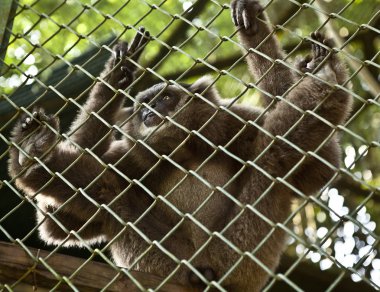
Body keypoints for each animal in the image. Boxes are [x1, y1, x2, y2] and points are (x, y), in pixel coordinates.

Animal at [8, 1, 352, 290]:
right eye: (144, 105)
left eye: (164, 98)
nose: (149, 112)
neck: (183, 152)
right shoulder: (129, 157)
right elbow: (58, 224)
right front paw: (116, 77)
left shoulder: (236, 123)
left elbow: (319, 166)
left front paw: (252, 25)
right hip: (166, 263)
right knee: (111, 191)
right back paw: (32, 154)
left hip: (240, 258)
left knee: (271, 159)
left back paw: (324, 76)